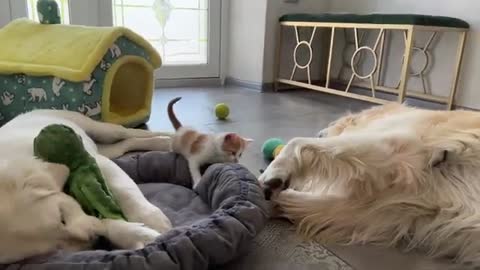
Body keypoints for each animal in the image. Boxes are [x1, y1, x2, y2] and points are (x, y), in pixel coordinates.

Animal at [0, 109, 173, 264]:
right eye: (57, 248)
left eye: (62, 218)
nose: (97, 240)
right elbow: (106, 223)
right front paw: (135, 235)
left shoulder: (98, 162)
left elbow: (124, 190)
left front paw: (151, 220)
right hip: (109, 150)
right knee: (125, 144)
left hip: (100, 129)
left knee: (130, 133)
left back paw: (167, 139)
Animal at [260, 104, 480, 266]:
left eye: (335, 123)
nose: (320, 132)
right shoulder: (388, 211)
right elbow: (316, 206)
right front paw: (274, 198)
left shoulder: (394, 148)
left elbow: (297, 142)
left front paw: (274, 174)